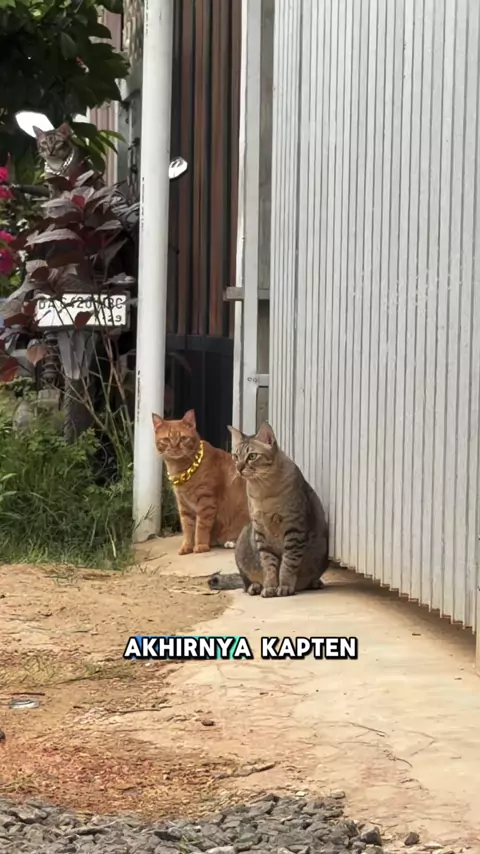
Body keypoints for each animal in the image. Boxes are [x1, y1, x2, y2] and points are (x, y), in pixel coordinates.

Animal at [152, 409, 249, 555]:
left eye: (183, 438)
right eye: (166, 440)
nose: (175, 448)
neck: (182, 470)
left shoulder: (206, 502)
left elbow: (201, 527)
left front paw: (201, 545)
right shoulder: (184, 505)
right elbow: (187, 528)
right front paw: (187, 547)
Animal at [228, 421, 329, 597]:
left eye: (252, 456)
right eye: (235, 456)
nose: (239, 468)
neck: (264, 492)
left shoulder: (294, 528)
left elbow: (288, 563)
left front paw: (285, 586)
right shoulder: (261, 532)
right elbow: (268, 565)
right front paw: (270, 586)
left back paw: (315, 583)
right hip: (242, 543)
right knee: (244, 582)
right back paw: (255, 586)